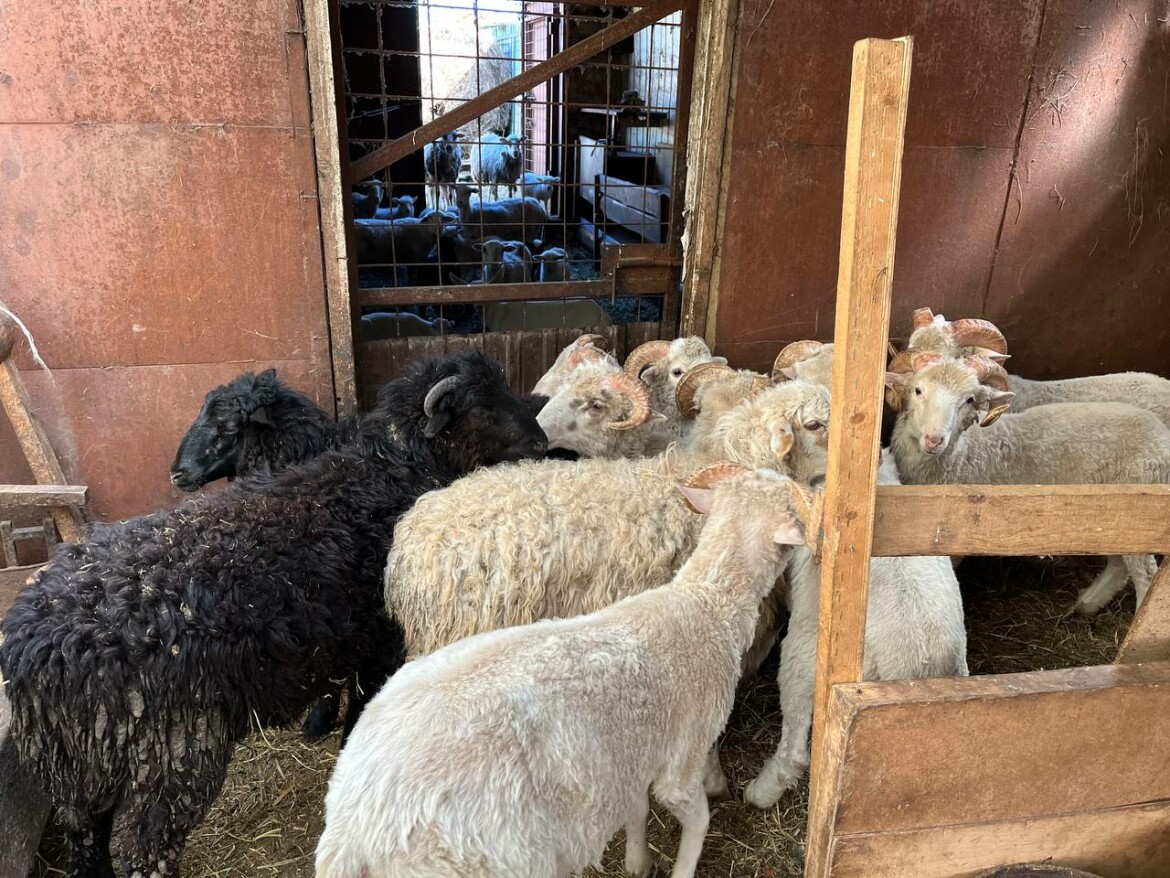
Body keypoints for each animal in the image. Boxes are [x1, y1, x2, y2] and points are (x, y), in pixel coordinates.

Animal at [0, 350, 548, 878]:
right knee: (144, 855)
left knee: (84, 837)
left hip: (79, 764)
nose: (543, 443)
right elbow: (361, 708)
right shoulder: (379, 640)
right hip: (170, 755)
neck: (387, 468)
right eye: (482, 409)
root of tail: (36, 650)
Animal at [319, 463, 816, 878]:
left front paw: (637, 861)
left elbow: (636, 811)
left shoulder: (632, 755)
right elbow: (697, 821)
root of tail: (353, 834)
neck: (704, 603)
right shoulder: (682, 761)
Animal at [885, 350, 1170, 614]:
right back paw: (1087, 603)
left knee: (1145, 574)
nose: (935, 440)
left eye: (969, 400)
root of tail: (1161, 438)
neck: (963, 455)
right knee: (1119, 564)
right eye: (918, 390)